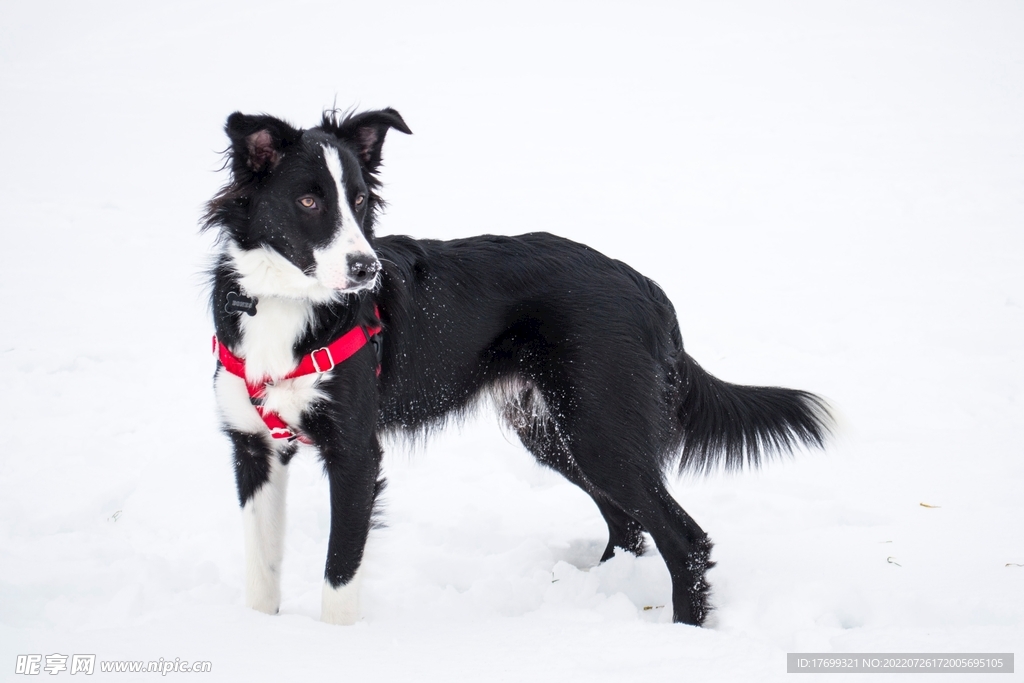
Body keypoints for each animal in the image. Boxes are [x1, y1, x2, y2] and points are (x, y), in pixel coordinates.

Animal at [201, 105, 831, 626]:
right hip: (556, 431)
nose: (367, 270)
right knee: (629, 524)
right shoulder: (253, 447)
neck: (286, 304)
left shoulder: (356, 453)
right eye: (308, 201)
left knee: (684, 539)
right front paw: (259, 635)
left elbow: (340, 573)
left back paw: (682, 636)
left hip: (600, 431)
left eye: (357, 201)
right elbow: (261, 571)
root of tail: (645, 288)